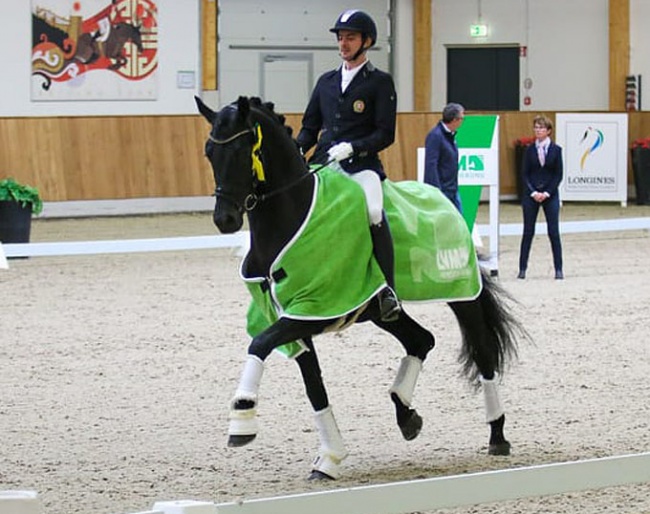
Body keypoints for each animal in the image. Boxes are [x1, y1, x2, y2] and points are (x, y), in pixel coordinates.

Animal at [195, 96, 524, 480]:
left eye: (242, 149)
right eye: (209, 153)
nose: (225, 220)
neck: (289, 221)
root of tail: (443, 199)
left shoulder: (313, 310)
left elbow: (259, 343)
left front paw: (242, 419)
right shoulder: (296, 319)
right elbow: (314, 387)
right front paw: (329, 458)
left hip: (461, 295)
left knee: (483, 352)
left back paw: (497, 435)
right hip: (380, 311)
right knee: (421, 340)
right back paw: (406, 414)